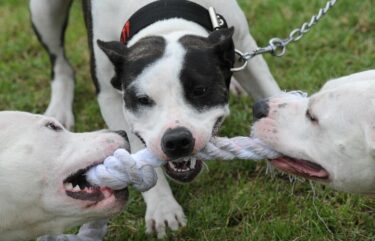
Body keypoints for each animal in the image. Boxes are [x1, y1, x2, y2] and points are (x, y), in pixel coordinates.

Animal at [29, 0, 280, 237]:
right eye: (142, 99)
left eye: (200, 90)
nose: (177, 140)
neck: (164, 15)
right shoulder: (109, 95)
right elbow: (137, 155)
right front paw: (163, 208)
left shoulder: (246, 48)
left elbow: (270, 92)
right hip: (43, 10)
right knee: (60, 64)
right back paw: (58, 109)